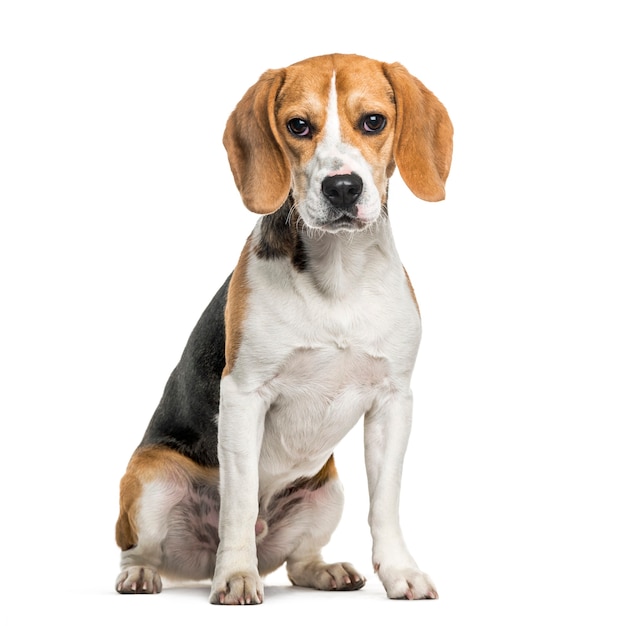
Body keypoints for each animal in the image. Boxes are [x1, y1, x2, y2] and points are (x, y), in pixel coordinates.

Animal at [114, 54, 452, 604]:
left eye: (373, 122)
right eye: (298, 126)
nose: (342, 187)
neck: (339, 273)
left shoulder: (393, 400)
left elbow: (385, 502)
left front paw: (401, 572)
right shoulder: (243, 395)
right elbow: (238, 502)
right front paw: (236, 576)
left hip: (326, 490)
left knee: (297, 562)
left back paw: (327, 571)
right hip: (150, 480)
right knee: (141, 547)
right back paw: (143, 574)